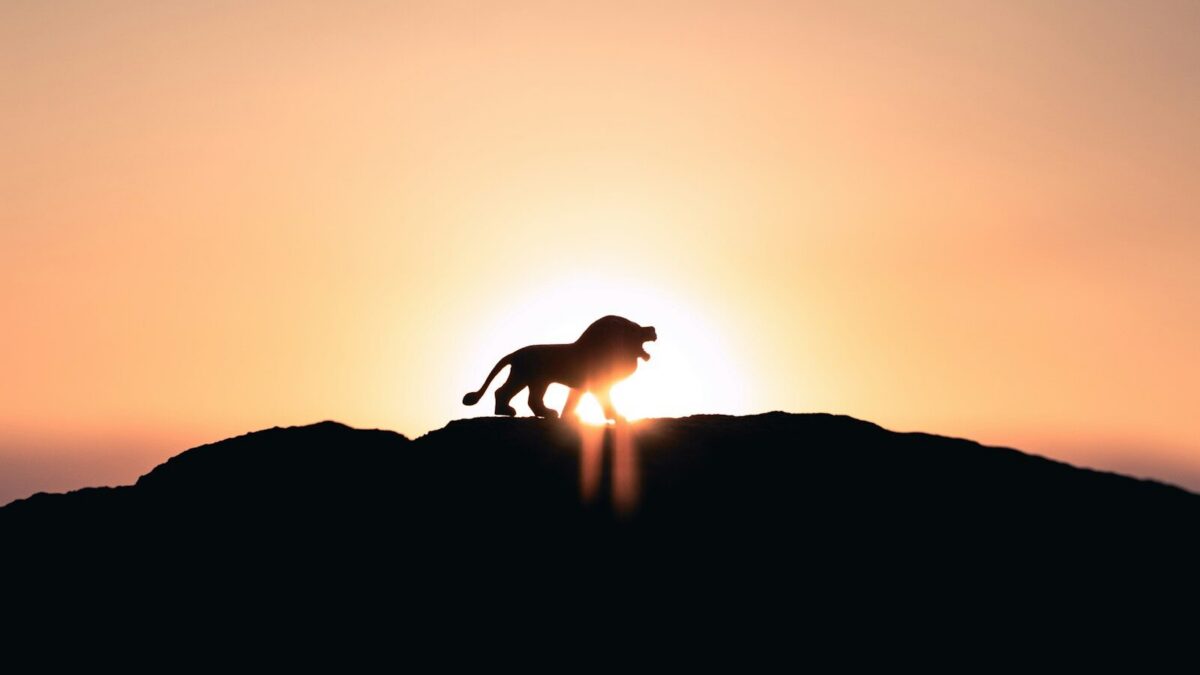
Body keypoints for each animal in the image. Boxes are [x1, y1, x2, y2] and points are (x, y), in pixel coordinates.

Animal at [462, 315, 657, 421]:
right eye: (635, 328)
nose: (653, 329)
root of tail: (514, 353)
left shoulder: (581, 387)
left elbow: (572, 401)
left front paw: (568, 417)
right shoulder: (598, 386)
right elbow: (606, 402)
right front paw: (616, 417)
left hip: (529, 379)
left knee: (522, 397)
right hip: (531, 378)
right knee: (515, 395)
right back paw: (518, 412)